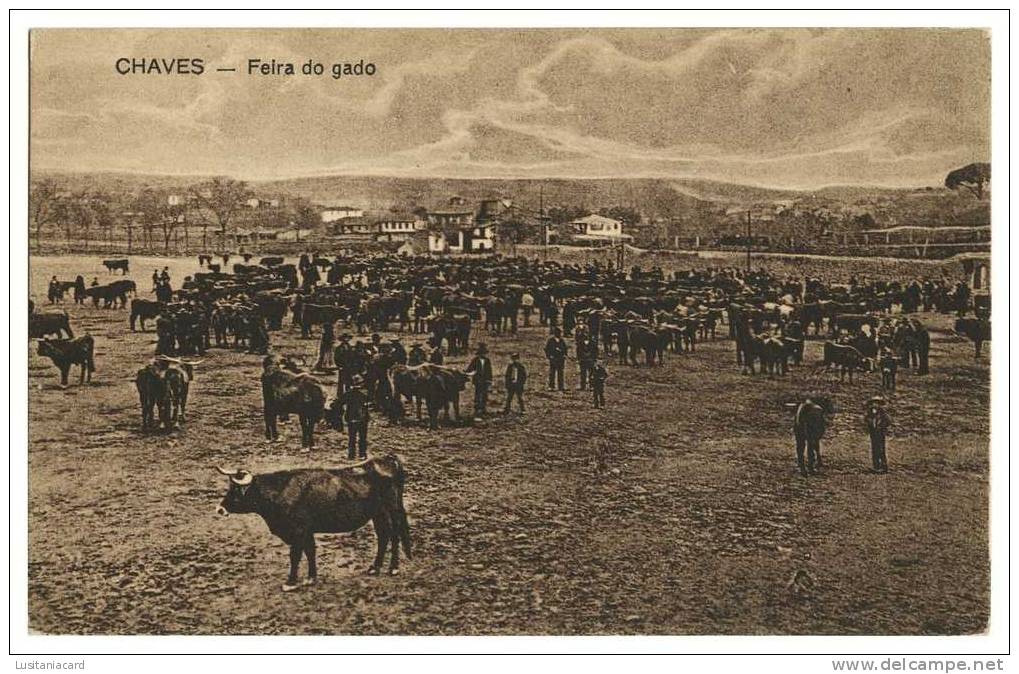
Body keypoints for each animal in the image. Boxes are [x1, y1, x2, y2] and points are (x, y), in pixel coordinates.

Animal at [212, 452, 411, 587]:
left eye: (235, 491)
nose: (219, 509)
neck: (281, 490)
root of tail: (387, 459)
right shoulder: (306, 532)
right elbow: (310, 552)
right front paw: (311, 577)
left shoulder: (298, 531)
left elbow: (295, 555)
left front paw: (291, 582)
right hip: (378, 514)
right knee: (383, 535)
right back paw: (375, 567)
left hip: (392, 510)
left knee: (394, 534)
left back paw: (393, 568)